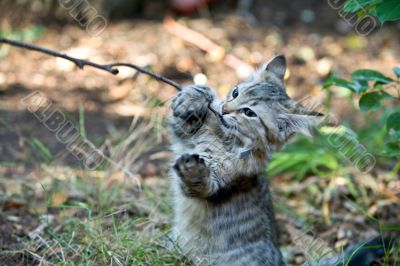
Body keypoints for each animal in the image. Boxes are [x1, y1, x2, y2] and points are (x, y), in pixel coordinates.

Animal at [170, 55, 322, 264]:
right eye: (235, 92)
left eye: (249, 112)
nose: (223, 110)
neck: (223, 136)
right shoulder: (185, 135)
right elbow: (199, 97)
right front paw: (192, 97)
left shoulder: (220, 180)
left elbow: (199, 182)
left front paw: (194, 168)